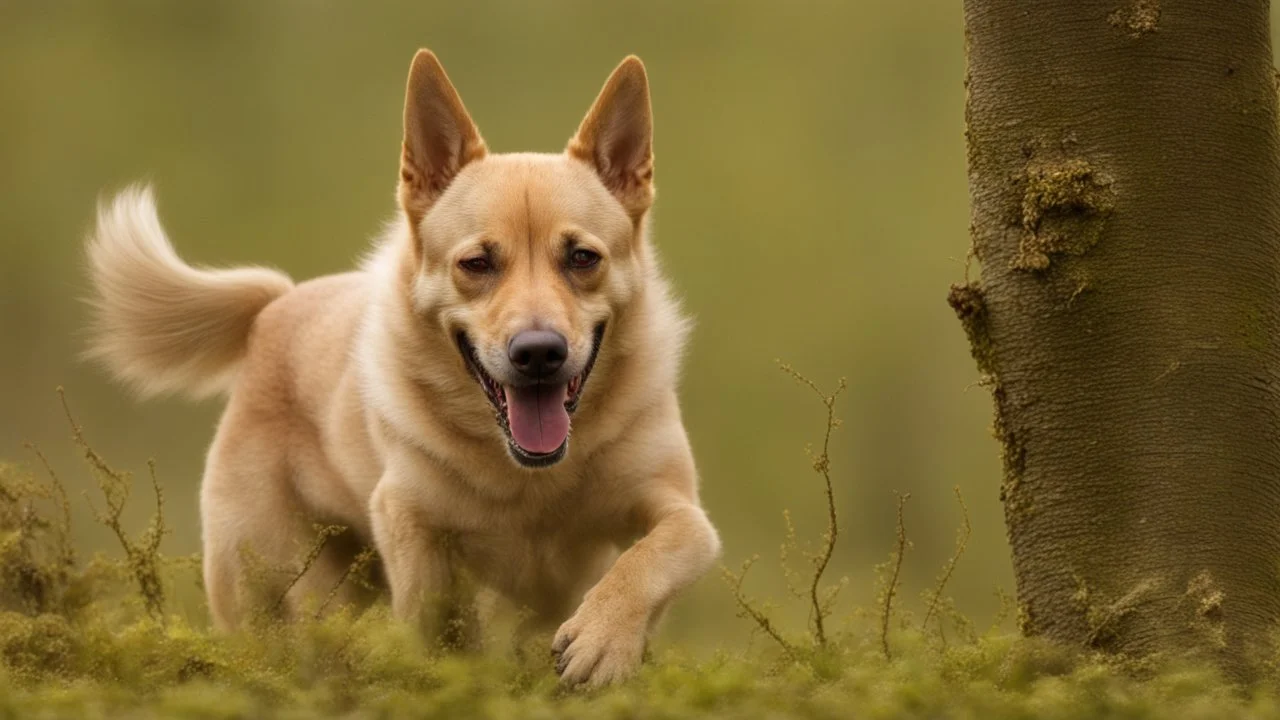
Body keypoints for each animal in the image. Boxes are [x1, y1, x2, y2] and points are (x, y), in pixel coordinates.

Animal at [82, 49, 721, 681]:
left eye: (583, 257)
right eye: (477, 263)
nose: (539, 351)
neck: (530, 483)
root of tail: (275, 307)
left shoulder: (679, 510)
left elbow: (655, 552)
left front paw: (602, 639)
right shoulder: (408, 521)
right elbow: (435, 619)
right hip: (270, 576)